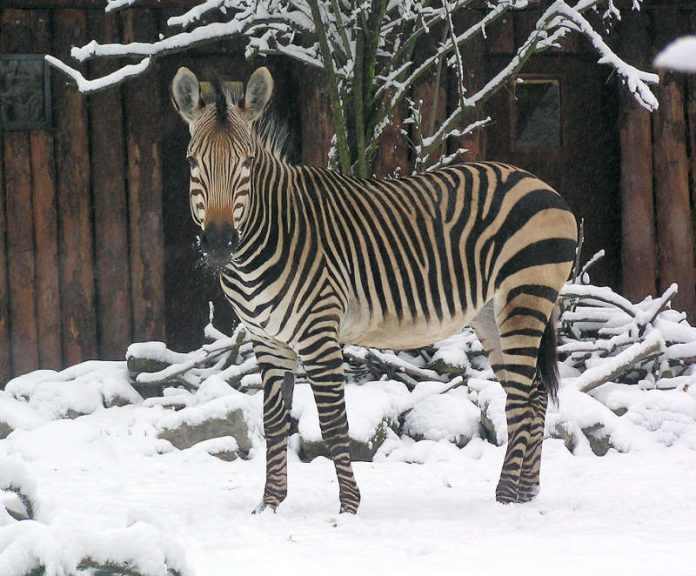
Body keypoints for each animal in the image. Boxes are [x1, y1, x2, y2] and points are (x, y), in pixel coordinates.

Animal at [173, 66, 576, 512]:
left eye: (246, 162)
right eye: (192, 161)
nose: (219, 242)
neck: (273, 231)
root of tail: (541, 184)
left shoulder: (318, 331)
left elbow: (334, 423)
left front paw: (348, 507)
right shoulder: (268, 340)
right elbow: (274, 423)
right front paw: (270, 506)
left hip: (525, 294)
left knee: (521, 398)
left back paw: (504, 497)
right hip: (493, 312)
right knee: (535, 394)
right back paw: (526, 495)